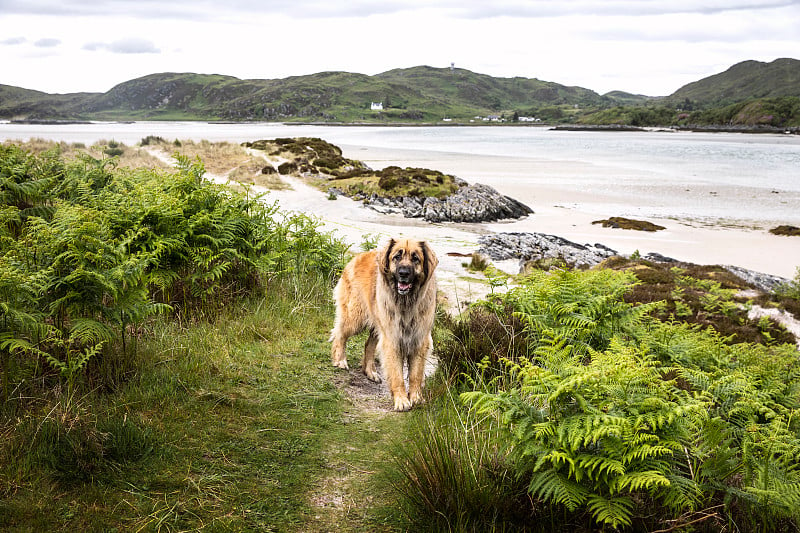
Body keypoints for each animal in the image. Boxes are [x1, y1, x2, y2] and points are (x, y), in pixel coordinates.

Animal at [332, 238, 440, 412]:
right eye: (397, 256)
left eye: (415, 258)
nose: (403, 273)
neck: (406, 303)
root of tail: (358, 257)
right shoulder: (392, 339)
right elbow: (397, 375)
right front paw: (401, 400)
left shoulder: (419, 340)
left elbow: (416, 374)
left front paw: (416, 398)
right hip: (355, 318)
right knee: (339, 334)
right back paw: (340, 360)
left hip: (378, 323)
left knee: (368, 344)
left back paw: (370, 372)